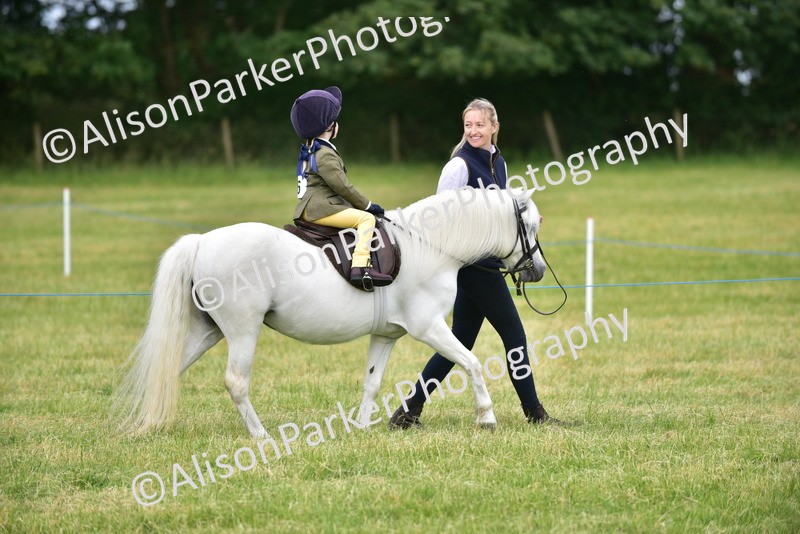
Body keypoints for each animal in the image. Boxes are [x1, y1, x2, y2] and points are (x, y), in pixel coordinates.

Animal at [114, 187, 546, 438]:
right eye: (530, 225)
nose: (537, 270)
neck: (428, 245)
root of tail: (202, 241)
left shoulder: (386, 335)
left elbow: (372, 382)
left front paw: (361, 428)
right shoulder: (428, 327)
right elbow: (472, 362)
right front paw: (486, 418)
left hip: (208, 330)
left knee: (168, 367)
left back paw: (147, 424)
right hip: (242, 331)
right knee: (236, 382)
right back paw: (261, 437)